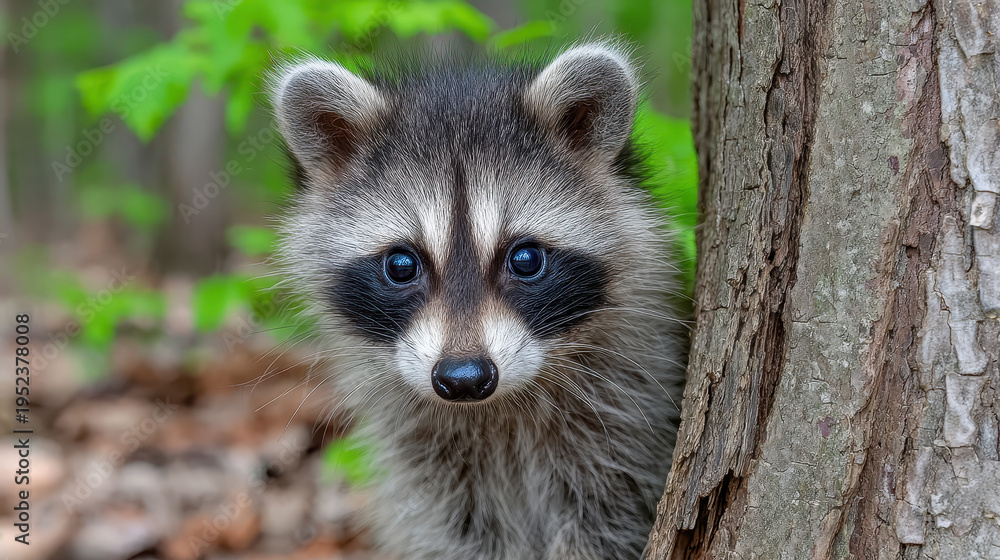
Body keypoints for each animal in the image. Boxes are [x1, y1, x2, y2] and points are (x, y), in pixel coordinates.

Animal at [270, 41, 686, 560]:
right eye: (401, 265)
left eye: (525, 259)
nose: (464, 378)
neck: (495, 411)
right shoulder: (425, 458)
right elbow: (449, 528)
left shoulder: (624, 418)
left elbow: (607, 516)